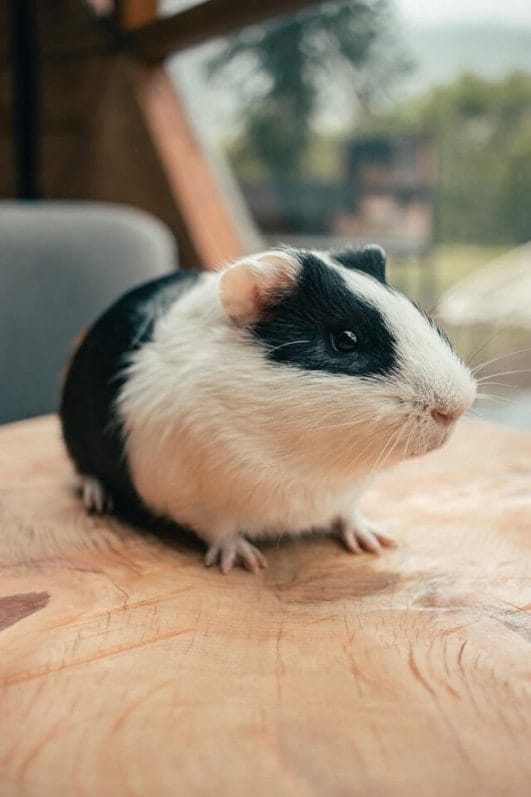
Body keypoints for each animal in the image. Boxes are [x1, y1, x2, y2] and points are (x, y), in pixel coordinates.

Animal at [60, 245, 476, 573]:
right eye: (345, 340)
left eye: (416, 311)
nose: (453, 408)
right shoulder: (196, 497)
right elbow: (222, 531)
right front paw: (244, 562)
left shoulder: (345, 496)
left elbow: (349, 514)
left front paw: (375, 541)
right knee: (85, 473)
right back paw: (98, 502)